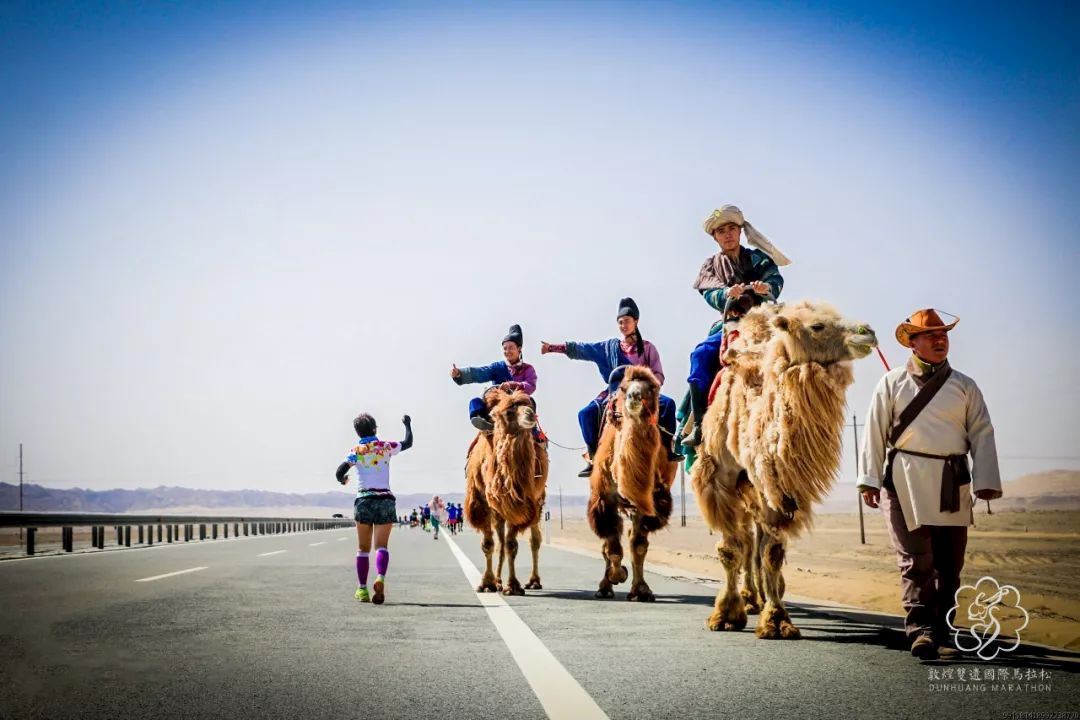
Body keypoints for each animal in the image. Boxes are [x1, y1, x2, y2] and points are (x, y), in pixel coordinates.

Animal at [462, 388, 548, 595]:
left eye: (530, 405)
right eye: (509, 411)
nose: (531, 415)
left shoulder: (519, 503)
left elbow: (512, 545)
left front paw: (513, 585)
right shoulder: (483, 502)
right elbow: (488, 544)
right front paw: (487, 583)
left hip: (538, 500)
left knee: (534, 539)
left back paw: (533, 581)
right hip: (497, 510)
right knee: (499, 542)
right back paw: (498, 581)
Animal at [591, 367, 673, 604]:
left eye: (652, 388)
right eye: (623, 388)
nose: (634, 396)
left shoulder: (647, 501)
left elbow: (638, 545)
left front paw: (641, 590)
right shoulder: (605, 499)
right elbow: (612, 546)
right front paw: (617, 575)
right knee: (607, 541)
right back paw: (605, 587)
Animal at [691, 302, 876, 639]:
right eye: (817, 326)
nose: (867, 332)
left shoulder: (775, 484)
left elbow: (772, 553)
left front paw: (776, 619)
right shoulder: (719, 480)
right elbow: (729, 550)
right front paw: (725, 615)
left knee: (756, 543)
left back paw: (761, 596)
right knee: (745, 542)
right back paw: (750, 598)